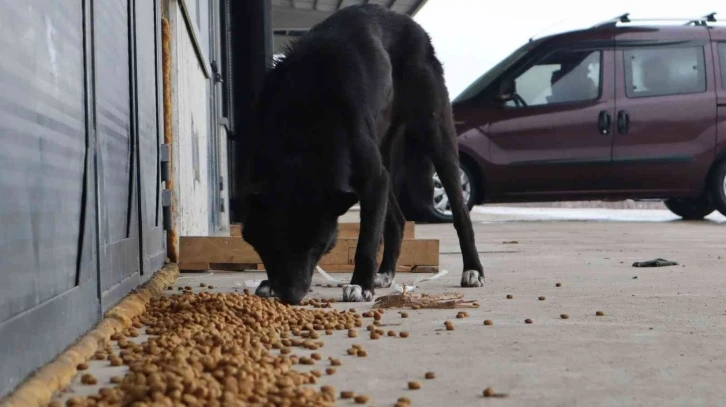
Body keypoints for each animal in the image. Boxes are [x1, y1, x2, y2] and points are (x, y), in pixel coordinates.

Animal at [242, 2, 486, 302]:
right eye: (273, 243)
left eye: (319, 246)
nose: (292, 296)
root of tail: (413, 26)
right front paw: (269, 282)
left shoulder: (373, 179)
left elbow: (367, 239)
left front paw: (360, 285)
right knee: (398, 220)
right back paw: (386, 274)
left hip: (436, 136)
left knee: (460, 211)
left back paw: (473, 270)